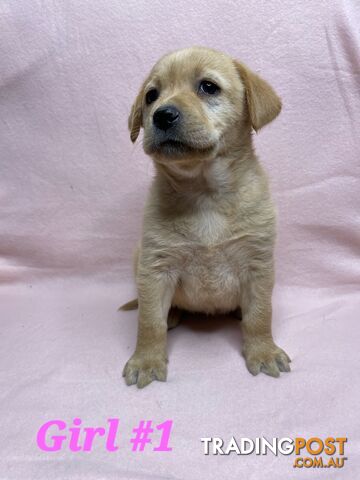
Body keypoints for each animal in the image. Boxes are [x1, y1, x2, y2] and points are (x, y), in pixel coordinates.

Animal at [122, 46, 292, 390]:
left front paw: (263, 352)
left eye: (208, 87)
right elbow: (149, 321)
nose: (162, 114)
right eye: (151, 96)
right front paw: (146, 361)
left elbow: (260, 315)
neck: (204, 194)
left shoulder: (258, 264)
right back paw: (173, 315)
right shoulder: (155, 268)